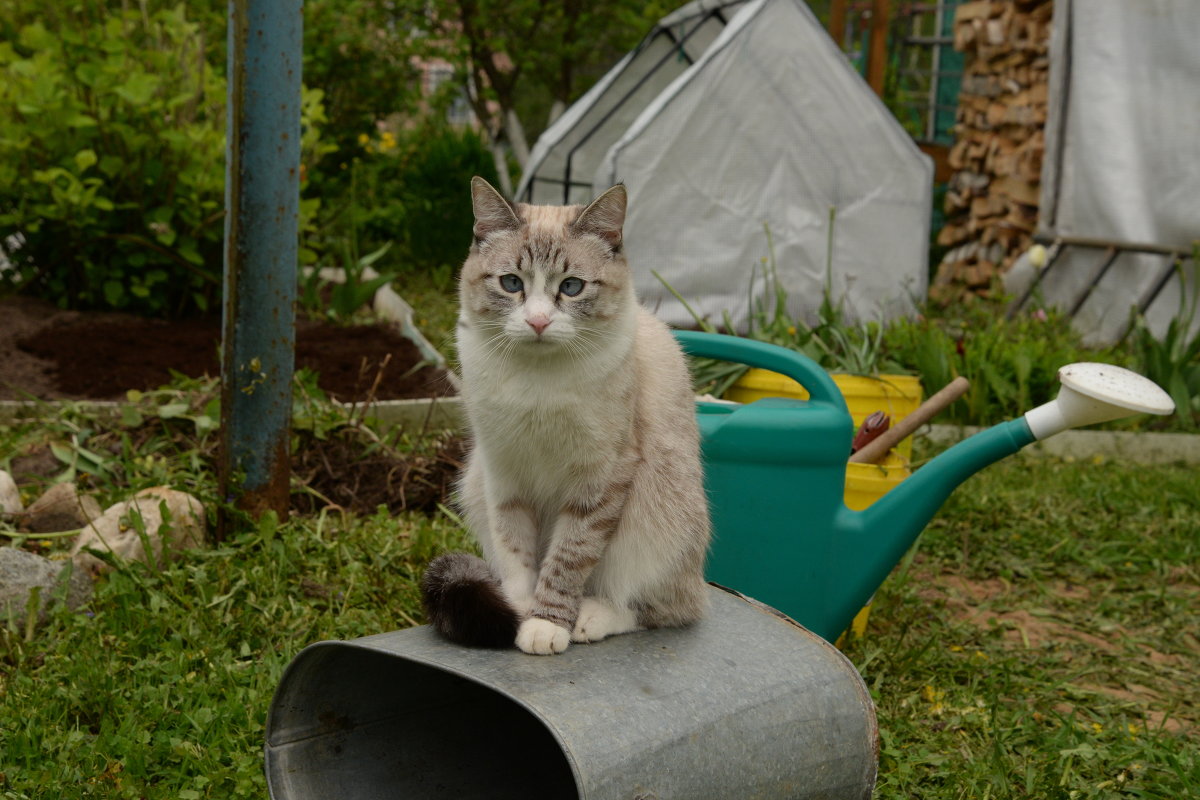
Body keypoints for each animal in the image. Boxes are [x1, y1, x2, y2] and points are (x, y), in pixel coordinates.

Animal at [420, 176, 710, 657]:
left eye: (571, 287)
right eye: (511, 283)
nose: (538, 322)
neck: (537, 383)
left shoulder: (599, 479)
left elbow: (566, 559)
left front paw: (546, 624)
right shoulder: (505, 473)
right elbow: (516, 553)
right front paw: (518, 613)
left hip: (658, 517)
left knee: (665, 608)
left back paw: (591, 617)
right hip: (476, 483)